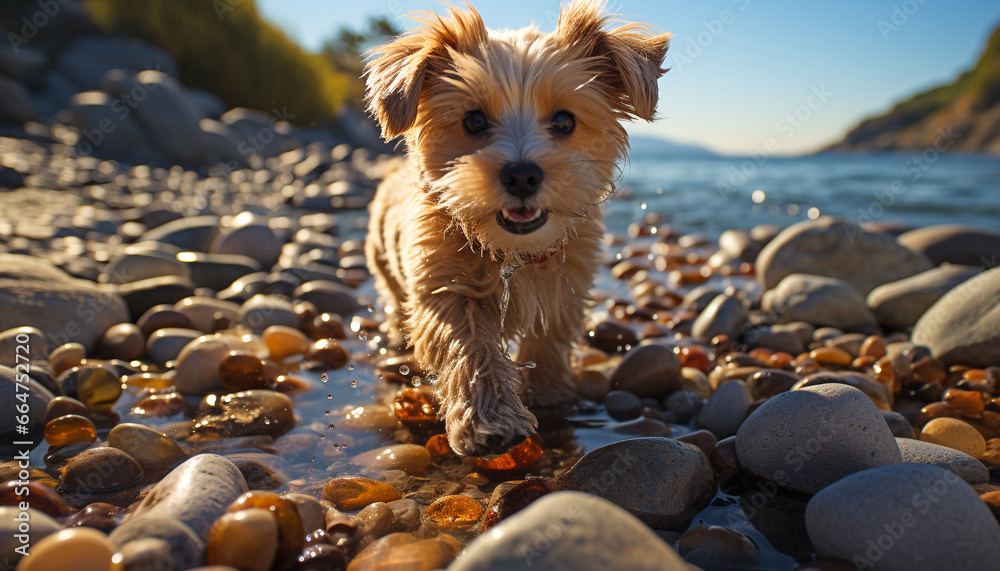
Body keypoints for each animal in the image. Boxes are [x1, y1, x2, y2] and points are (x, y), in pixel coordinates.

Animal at [364, 0, 668, 456]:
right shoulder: (443, 287)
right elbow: (470, 348)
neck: (511, 251)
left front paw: (549, 393)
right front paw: (489, 420)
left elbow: (550, 339)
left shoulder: (567, 284)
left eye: (564, 121)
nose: (522, 175)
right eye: (473, 120)